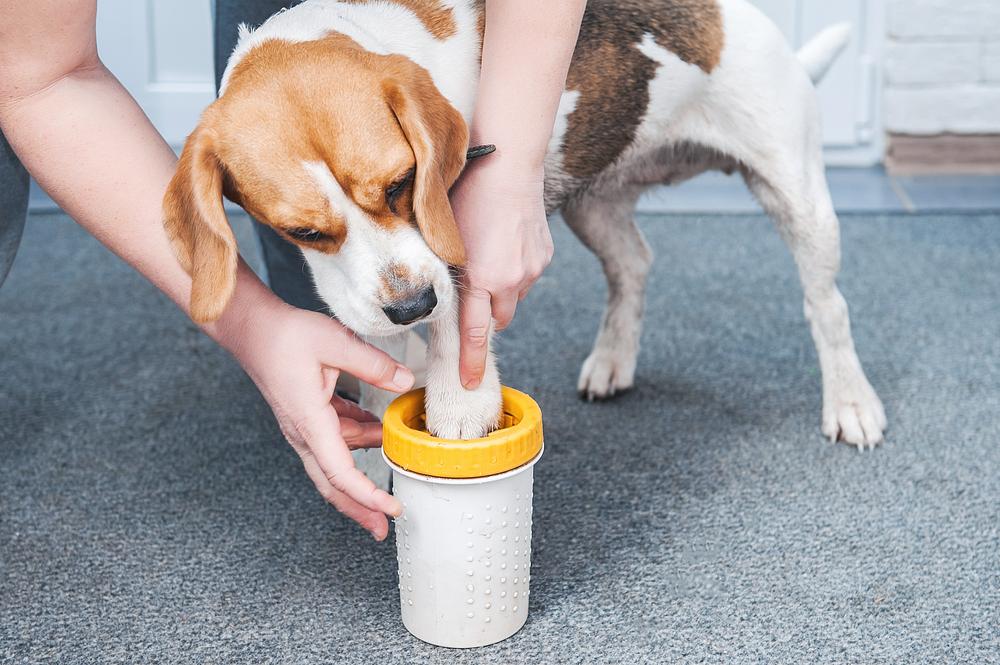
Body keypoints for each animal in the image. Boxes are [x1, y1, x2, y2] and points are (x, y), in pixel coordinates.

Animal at [164, 0, 892, 452]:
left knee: (828, 305)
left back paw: (851, 403)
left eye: (402, 184)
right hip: (589, 200)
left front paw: (459, 404)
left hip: (797, 196)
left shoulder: (460, 237)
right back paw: (613, 358)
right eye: (304, 233)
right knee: (634, 263)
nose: (412, 306)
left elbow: (459, 322)